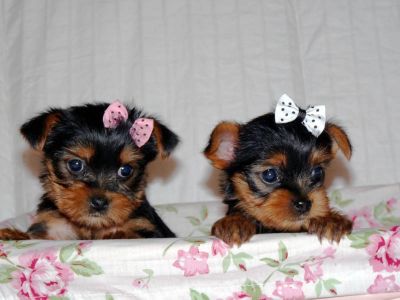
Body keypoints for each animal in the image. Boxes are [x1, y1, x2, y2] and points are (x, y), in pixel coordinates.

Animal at [0, 101, 178, 239]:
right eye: (75, 165)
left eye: (126, 170)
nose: (99, 202)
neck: (91, 226)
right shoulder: (54, 227)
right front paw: (13, 235)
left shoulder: (146, 228)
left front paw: (117, 235)